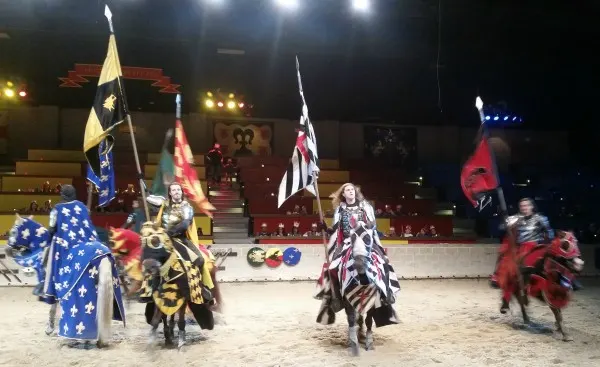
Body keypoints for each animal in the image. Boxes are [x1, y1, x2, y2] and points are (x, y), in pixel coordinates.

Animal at [5, 214, 125, 346]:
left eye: (13, 231)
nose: (7, 250)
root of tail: (102, 256)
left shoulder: (53, 291)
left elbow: (52, 308)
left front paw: (50, 328)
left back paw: (78, 338)